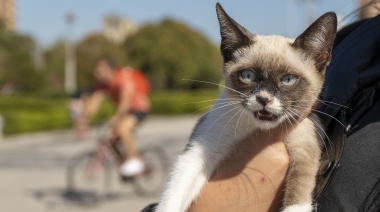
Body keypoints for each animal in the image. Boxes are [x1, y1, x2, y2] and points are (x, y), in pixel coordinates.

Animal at [156, 3, 336, 212]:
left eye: (288, 80)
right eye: (248, 75)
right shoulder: (201, 151)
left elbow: (297, 197)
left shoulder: (304, 147)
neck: (256, 129)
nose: (264, 99)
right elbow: (173, 195)